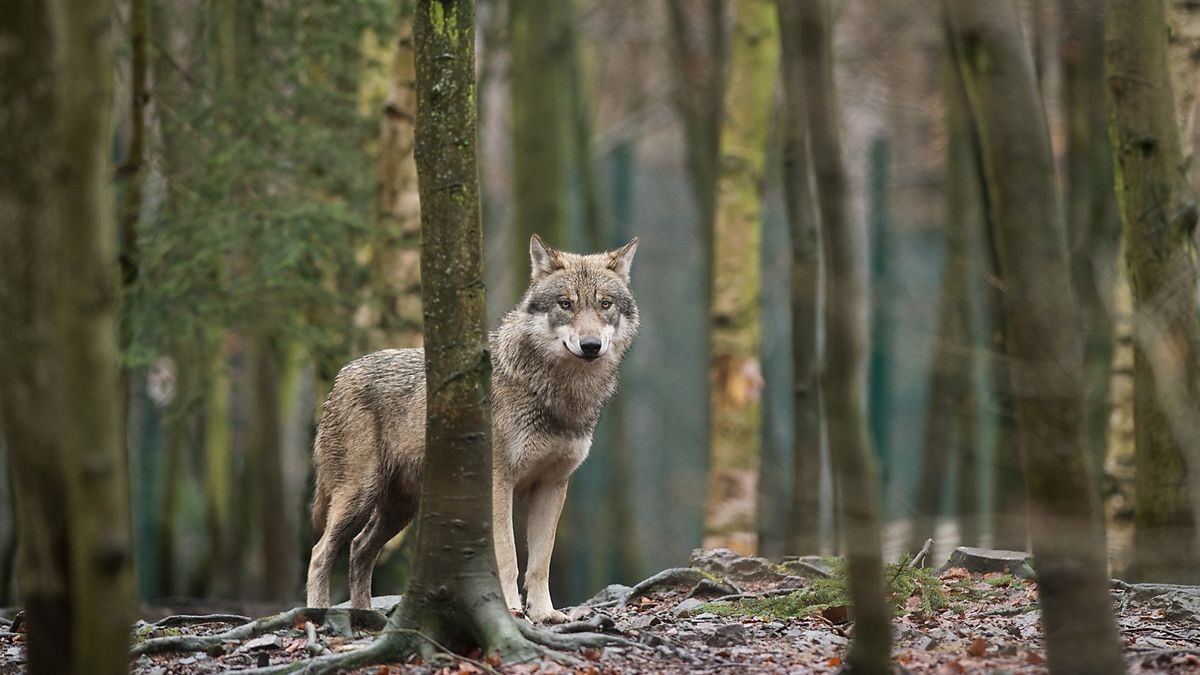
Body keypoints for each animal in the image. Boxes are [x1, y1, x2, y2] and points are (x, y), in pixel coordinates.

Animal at [307, 233, 638, 619]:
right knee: (320, 553)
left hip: (399, 509)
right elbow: (508, 557)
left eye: (605, 305)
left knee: (360, 549)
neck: (558, 395)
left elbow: (540, 563)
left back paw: (364, 614)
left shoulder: (552, 486)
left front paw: (544, 614)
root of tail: (341, 375)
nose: (590, 345)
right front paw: (510, 610)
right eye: (565, 304)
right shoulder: (499, 484)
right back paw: (318, 613)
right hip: (359, 496)